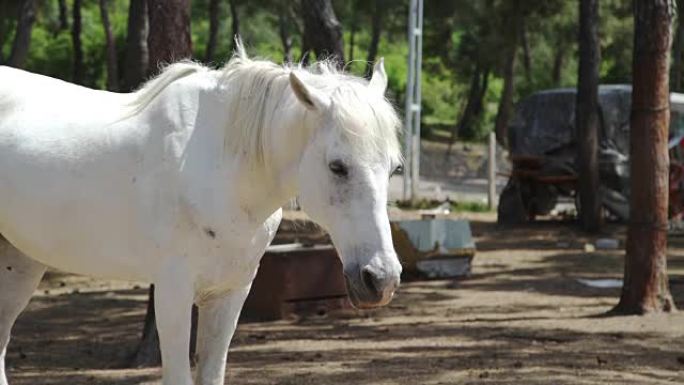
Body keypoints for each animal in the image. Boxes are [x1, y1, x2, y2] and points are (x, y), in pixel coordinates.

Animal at [0, 45, 400, 384]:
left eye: (394, 168)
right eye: (337, 167)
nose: (381, 278)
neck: (220, 168)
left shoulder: (229, 293)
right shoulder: (173, 292)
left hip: (20, 263)